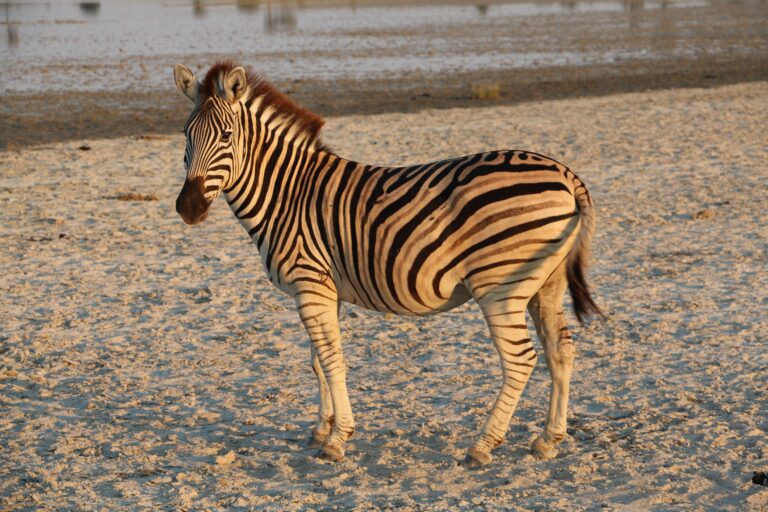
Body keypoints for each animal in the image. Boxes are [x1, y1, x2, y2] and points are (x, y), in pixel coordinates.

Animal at [172, 61, 600, 468]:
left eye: (227, 136)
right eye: (185, 136)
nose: (188, 208)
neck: (286, 194)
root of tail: (566, 174)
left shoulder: (310, 283)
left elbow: (332, 359)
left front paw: (338, 439)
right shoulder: (323, 289)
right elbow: (318, 360)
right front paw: (322, 427)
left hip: (499, 286)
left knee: (520, 360)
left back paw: (482, 446)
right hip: (545, 285)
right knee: (560, 349)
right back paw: (548, 439)